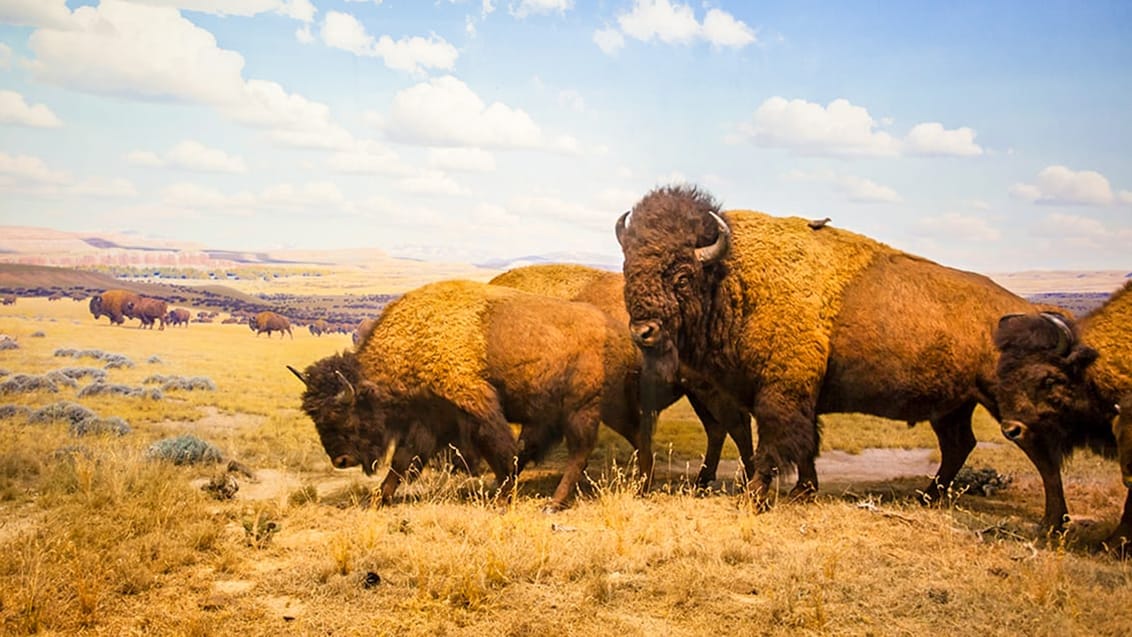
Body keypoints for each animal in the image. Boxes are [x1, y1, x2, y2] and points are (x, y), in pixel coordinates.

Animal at [287, 281, 652, 511]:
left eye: (341, 414)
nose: (340, 460)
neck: (418, 337)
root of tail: (623, 337)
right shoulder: (429, 419)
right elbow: (403, 460)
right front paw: (377, 498)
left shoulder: (475, 406)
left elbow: (500, 450)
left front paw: (503, 497)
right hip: (607, 408)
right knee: (637, 434)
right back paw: (642, 486)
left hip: (582, 410)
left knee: (581, 451)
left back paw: (554, 504)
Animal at [491, 264, 756, 488]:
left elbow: (525, 445)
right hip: (697, 394)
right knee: (718, 429)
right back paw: (703, 480)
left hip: (708, 392)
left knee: (736, 428)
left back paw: (743, 481)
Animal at [615, 183, 1036, 504]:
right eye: (629, 268)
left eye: (683, 276)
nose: (643, 331)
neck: (731, 275)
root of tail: (1021, 306)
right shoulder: (795, 396)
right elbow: (806, 445)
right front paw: (804, 490)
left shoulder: (780, 393)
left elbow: (774, 444)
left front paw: (756, 496)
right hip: (953, 407)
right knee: (958, 445)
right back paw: (928, 496)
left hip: (998, 404)